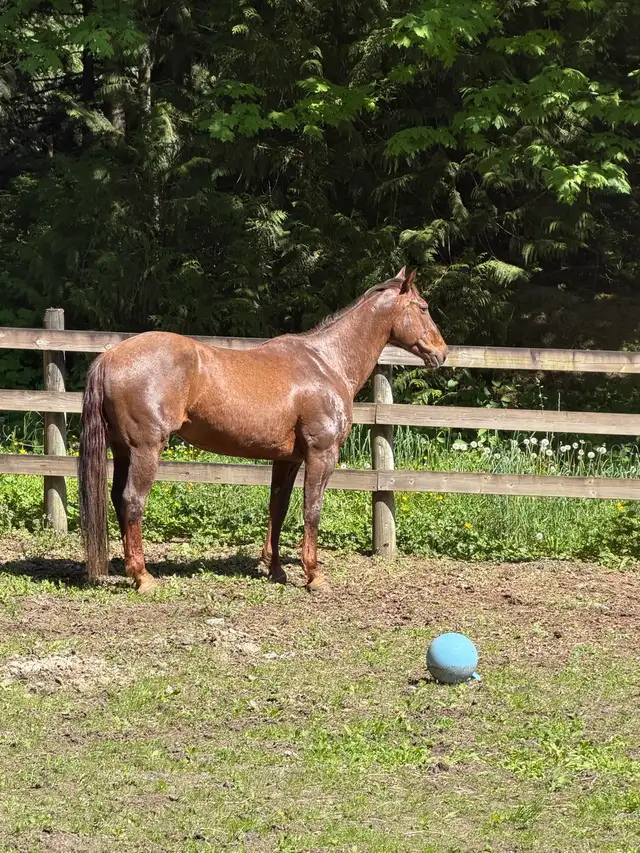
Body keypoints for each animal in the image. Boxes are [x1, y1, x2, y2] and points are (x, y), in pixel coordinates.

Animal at [78, 267, 448, 593]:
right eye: (424, 307)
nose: (442, 353)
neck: (326, 363)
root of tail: (111, 355)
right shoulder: (321, 455)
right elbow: (312, 509)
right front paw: (314, 575)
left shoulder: (287, 460)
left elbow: (278, 508)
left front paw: (276, 569)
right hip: (146, 450)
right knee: (132, 501)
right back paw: (144, 578)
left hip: (123, 451)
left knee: (117, 498)